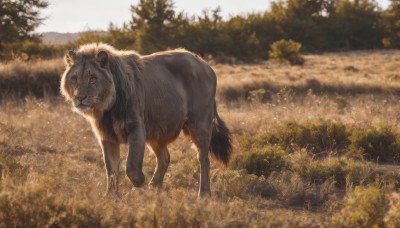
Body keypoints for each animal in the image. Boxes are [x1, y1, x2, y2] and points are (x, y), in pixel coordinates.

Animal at [61, 43, 233, 197]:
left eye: (92, 78)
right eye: (74, 78)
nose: (80, 98)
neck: (106, 109)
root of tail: (206, 65)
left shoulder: (137, 128)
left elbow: (130, 166)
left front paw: (139, 182)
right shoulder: (107, 137)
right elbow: (111, 169)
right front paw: (111, 197)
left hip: (199, 124)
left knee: (204, 159)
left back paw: (204, 194)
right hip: (156, 129)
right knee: (165, 158)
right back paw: (153, 188)